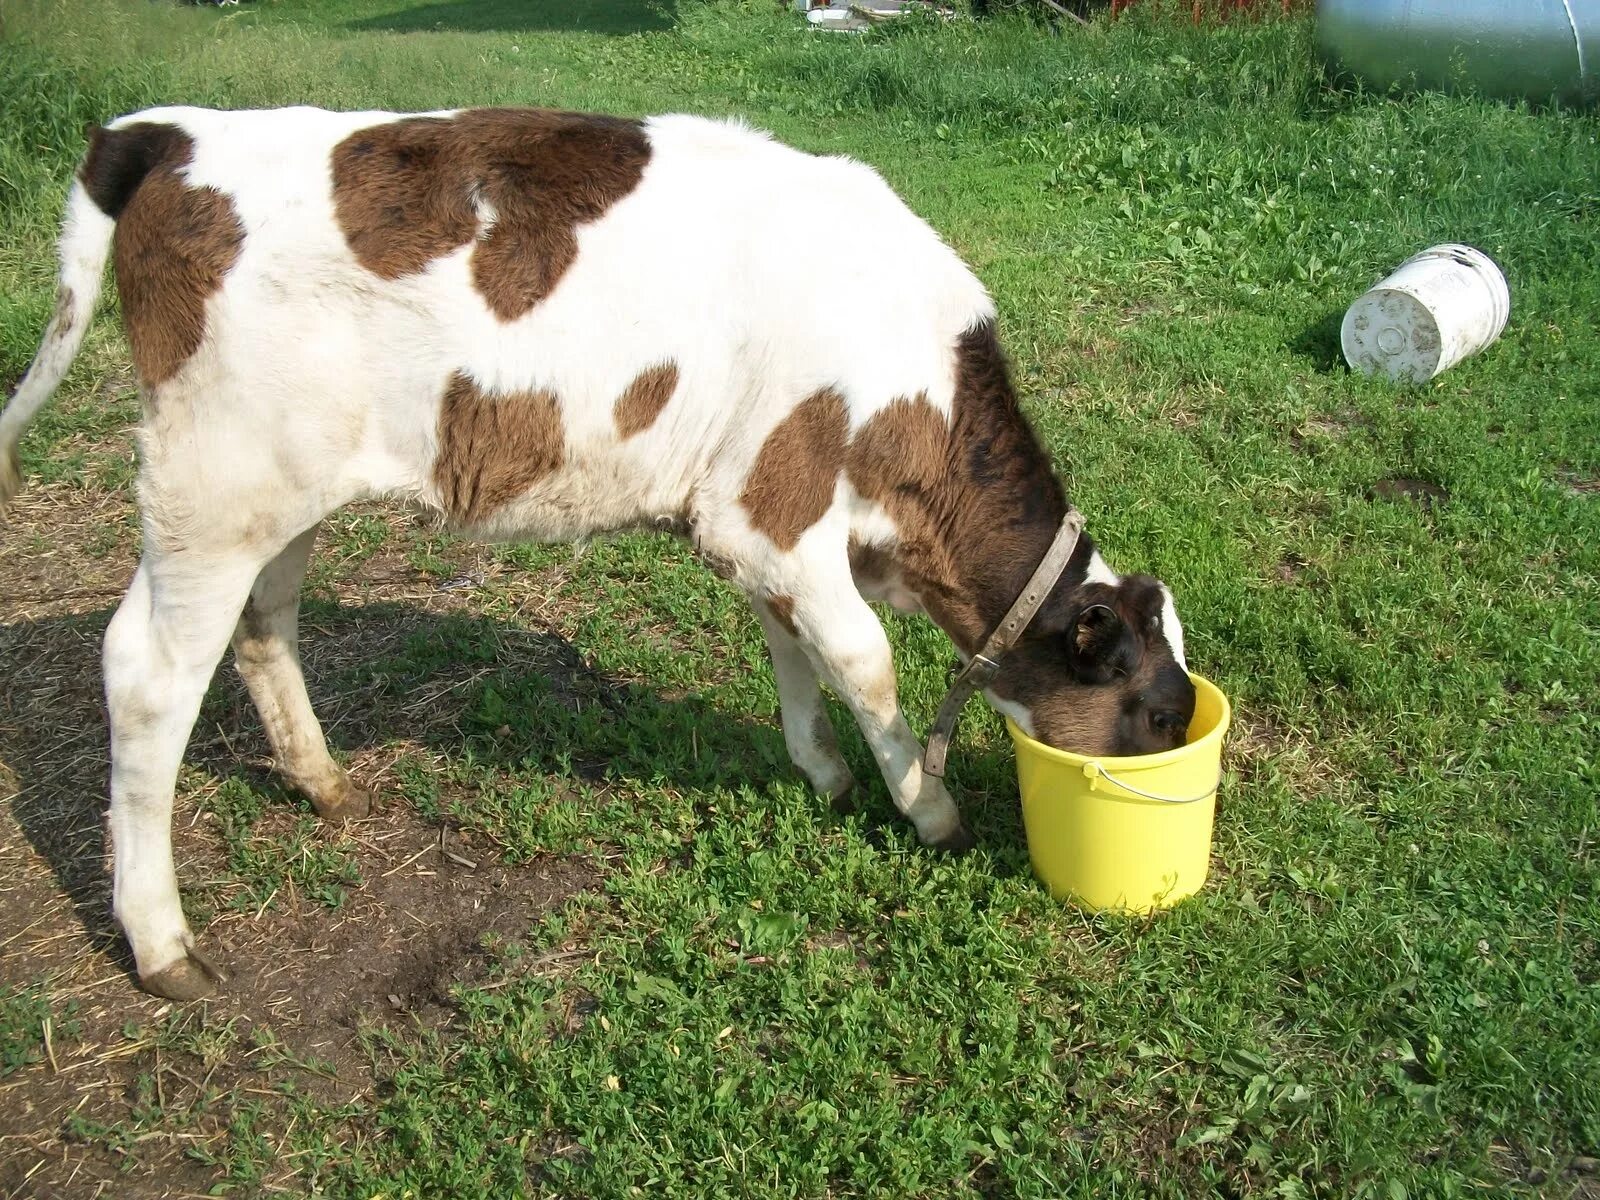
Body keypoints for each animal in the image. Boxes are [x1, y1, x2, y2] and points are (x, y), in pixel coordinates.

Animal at [0, 105, 1196, 1004]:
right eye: (1155, 716)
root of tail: (166, 131)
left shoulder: (752, 523)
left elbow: (792, 644)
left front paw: (820, 771)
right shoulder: (773, 504)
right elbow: (865, 659)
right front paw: (928, 809)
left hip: (285, 489)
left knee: (264, 624)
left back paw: (321, 781)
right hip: (212, 483)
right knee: (147, 676)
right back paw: (163, 945)